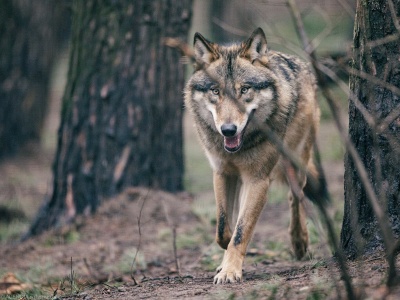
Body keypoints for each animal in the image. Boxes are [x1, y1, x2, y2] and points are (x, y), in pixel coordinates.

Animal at [184, 27, 322, 284]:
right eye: (215, 91)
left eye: (244, 90)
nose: (228, 130)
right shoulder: (223, 173)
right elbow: (223, 228)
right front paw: (225, 261)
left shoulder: (257, 180)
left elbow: (241, 231)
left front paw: (230, 271)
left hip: (297, 161)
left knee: (296, 196)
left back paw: (299, 243)